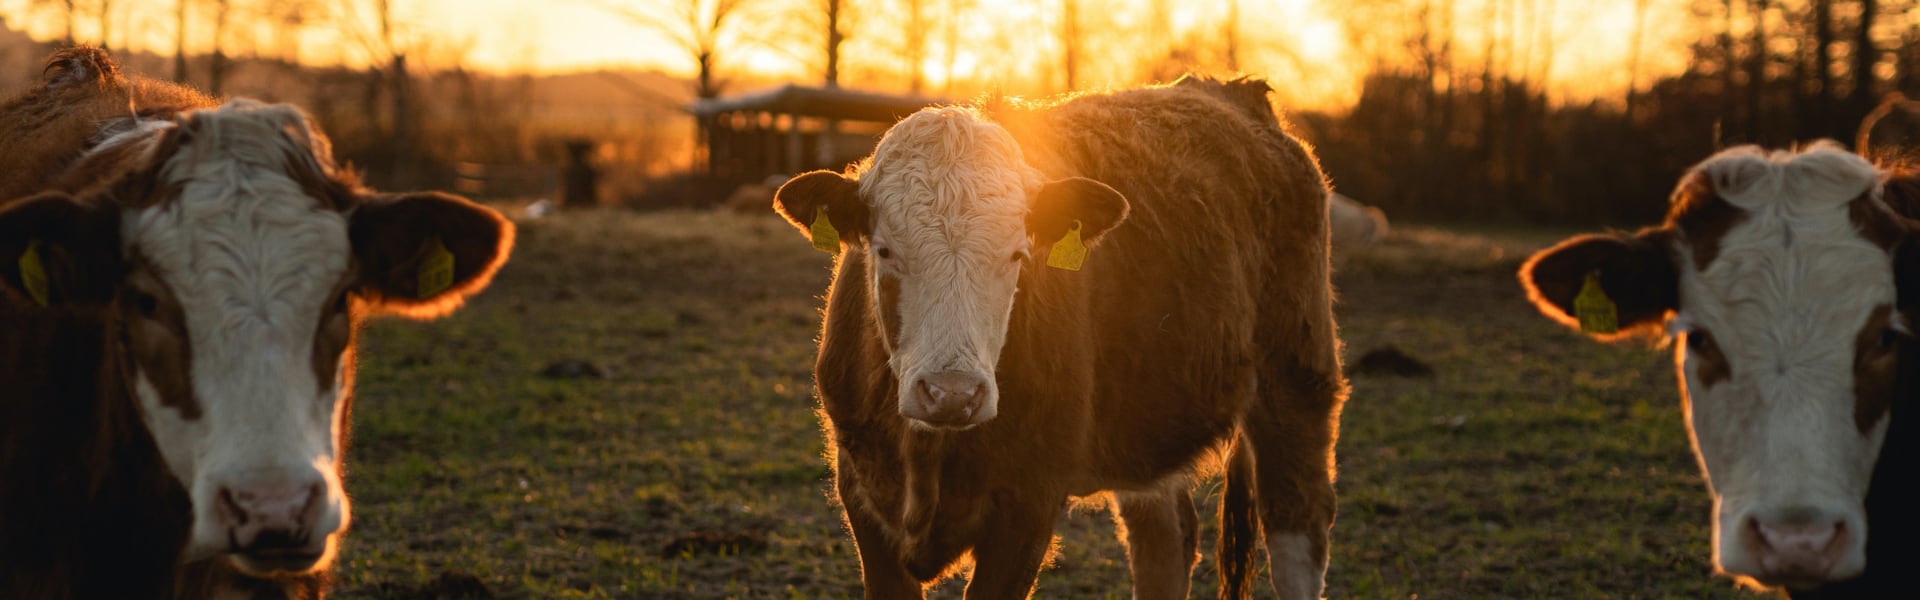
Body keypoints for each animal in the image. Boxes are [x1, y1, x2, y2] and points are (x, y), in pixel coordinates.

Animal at [768, 77, 1351, 596]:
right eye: (885, 250)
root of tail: (1236, 93)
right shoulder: (861, 492)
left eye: (1017, 254)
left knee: (1297, 530)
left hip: (1297, 378)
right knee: (1165, 541)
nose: (952, 393)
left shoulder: (1029, 502)